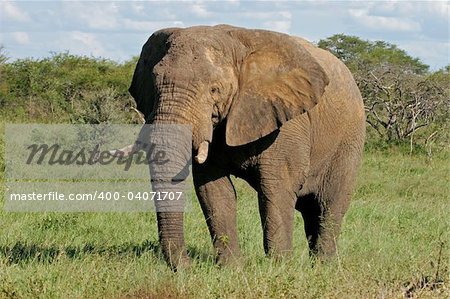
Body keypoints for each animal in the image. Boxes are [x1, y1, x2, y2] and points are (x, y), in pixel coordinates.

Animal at [123, 25, 366, 270]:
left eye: (215, 89)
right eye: (155, 85)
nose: (187, 266)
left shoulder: (286, 122)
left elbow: (276, 187)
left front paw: (279, 268)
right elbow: (213, 190)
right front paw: (231, 269)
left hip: (349, 141)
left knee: (329, 205)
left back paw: (324, 266)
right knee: (311, 211)